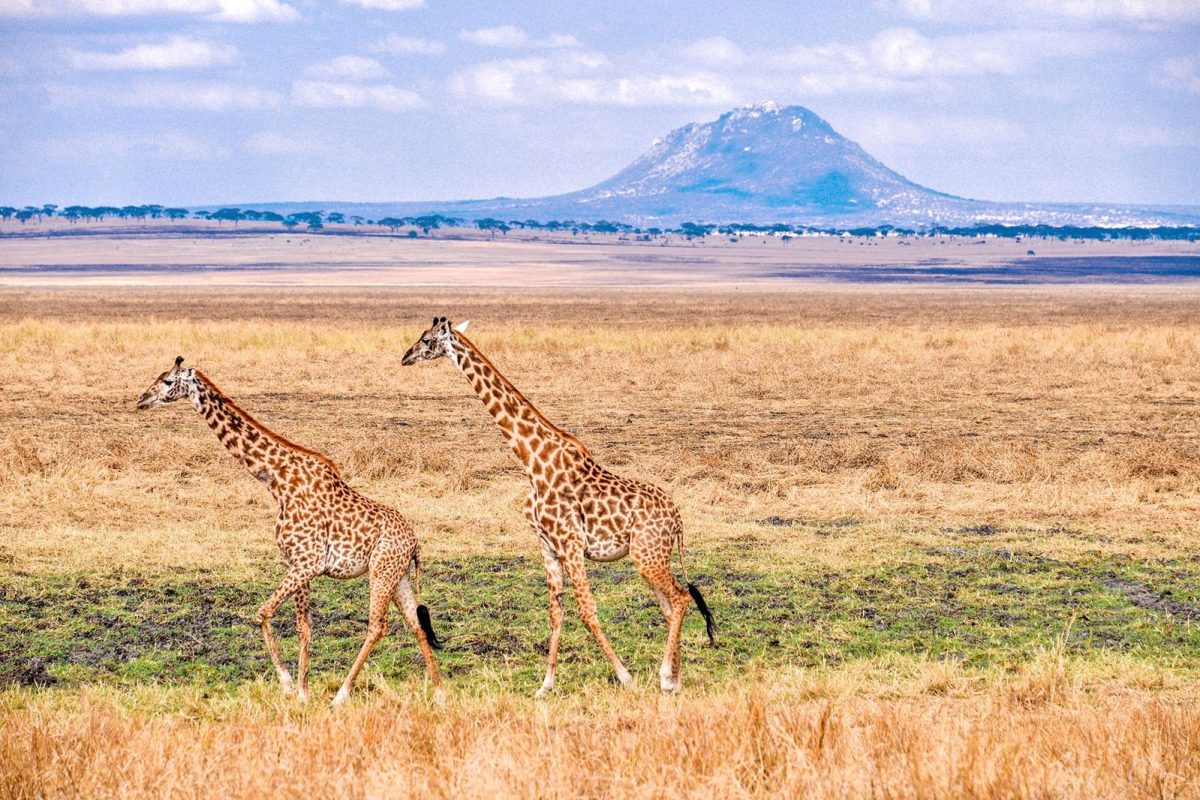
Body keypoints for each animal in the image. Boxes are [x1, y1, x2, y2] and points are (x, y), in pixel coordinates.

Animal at [137, 356, 442, 707]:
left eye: (168, 381)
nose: (141, 399)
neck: (277, 479)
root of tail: (415, 543)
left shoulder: (308, 562)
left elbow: (262, 612)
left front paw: (286, 682)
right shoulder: (297, 563)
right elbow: (303, 627)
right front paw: (302, 693)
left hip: (382, 570)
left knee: (377, 626)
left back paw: (340, 697)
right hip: (398, 575)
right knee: (416, 624)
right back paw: (440, 693)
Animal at [401, 318, 715, 695]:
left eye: (426, 340)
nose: (405, 356)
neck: (532, 462)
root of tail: (679, 519)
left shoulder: (570, 543)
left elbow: (587, 609)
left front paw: (625, 677)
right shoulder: (548, 546)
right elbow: (556, 611)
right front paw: (545, 685)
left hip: (647, 555)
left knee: (681, 599)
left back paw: (667, 676)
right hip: (650, 556)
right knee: (670, 605)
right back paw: (675, 678)